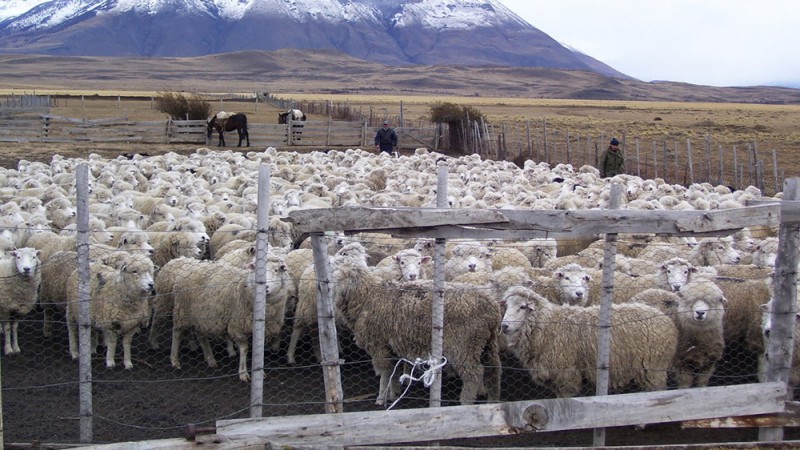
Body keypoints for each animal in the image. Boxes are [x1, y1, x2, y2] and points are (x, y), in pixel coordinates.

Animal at [500, 284, 676, 398]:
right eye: (507, 306)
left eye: (523, 307)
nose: (504, 326)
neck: (547, 325)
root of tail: (666, 319)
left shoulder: (567, 375)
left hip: (653, 368)